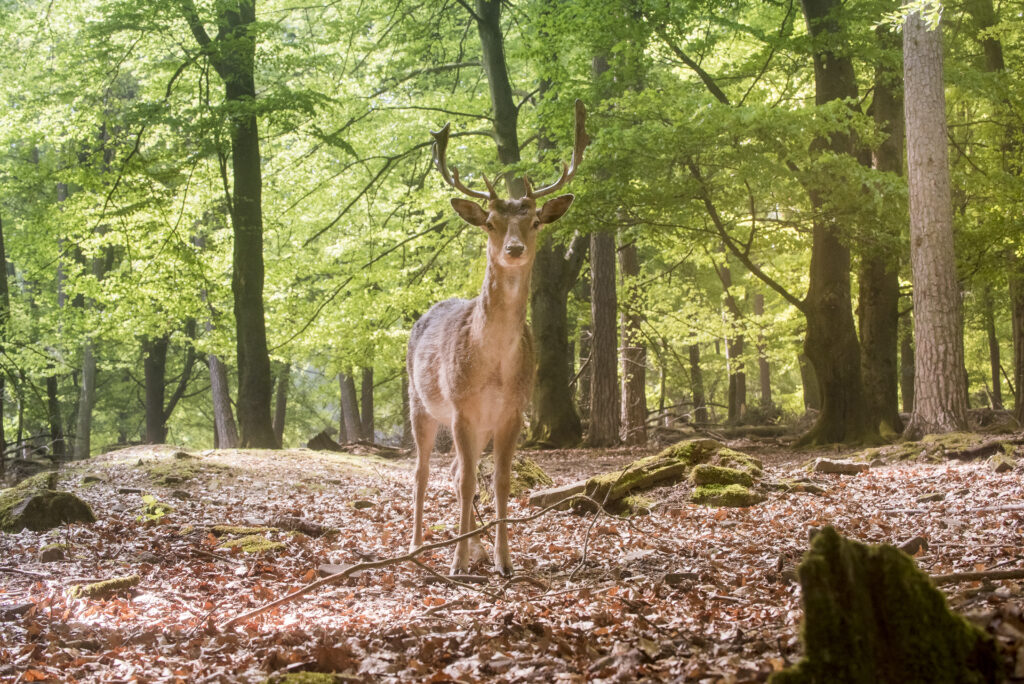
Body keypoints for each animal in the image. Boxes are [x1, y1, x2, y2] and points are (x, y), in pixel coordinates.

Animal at [407, 100, 590, 576]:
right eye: (490, 222)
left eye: (536, 221)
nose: (514, 249)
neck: (492, 366)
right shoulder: (462, 408)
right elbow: (469, 480)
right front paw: (456, 562)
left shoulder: (512, 411)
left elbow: (501, 480)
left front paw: (504, 562)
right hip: (420, 403)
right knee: (423, 472)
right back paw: (418, 545)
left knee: (454, 473)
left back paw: (476, 547)